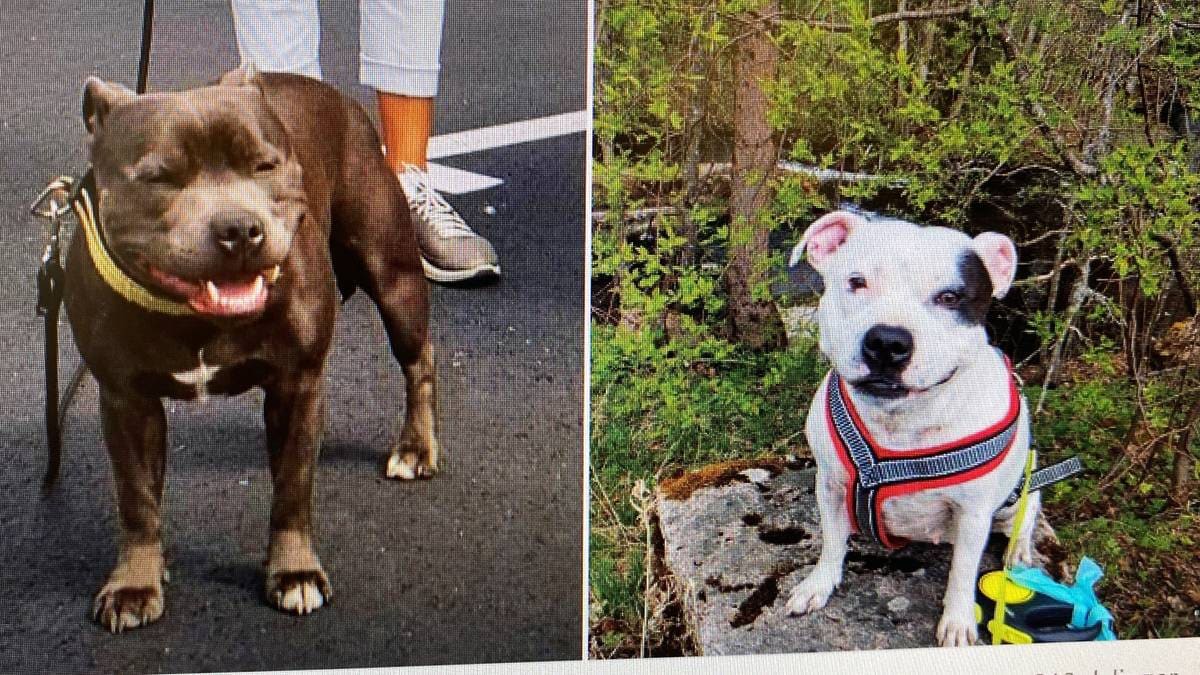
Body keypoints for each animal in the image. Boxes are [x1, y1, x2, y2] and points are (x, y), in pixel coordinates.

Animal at [65, 65, 441, 629]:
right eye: (159, 177)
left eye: (264, 165)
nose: (239, 229)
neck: (194, 316)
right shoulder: (126, 400)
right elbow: (136, 498)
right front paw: (135, 582)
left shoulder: (297, 383)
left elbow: (292, 489)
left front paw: (293, 572)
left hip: (393, 275)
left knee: (419, 362)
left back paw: (416, 447)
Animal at [787, 207, 1041, 643]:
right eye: (857, 282)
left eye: (950, 298)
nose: (887, 342)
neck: (902, 422)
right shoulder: (831, 486)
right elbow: (832, 541)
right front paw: (819, 584)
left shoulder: (973, 514)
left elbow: (962, 573)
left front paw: (958, 622)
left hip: (1021, 492)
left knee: (1027, 516)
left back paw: (1020, 551)